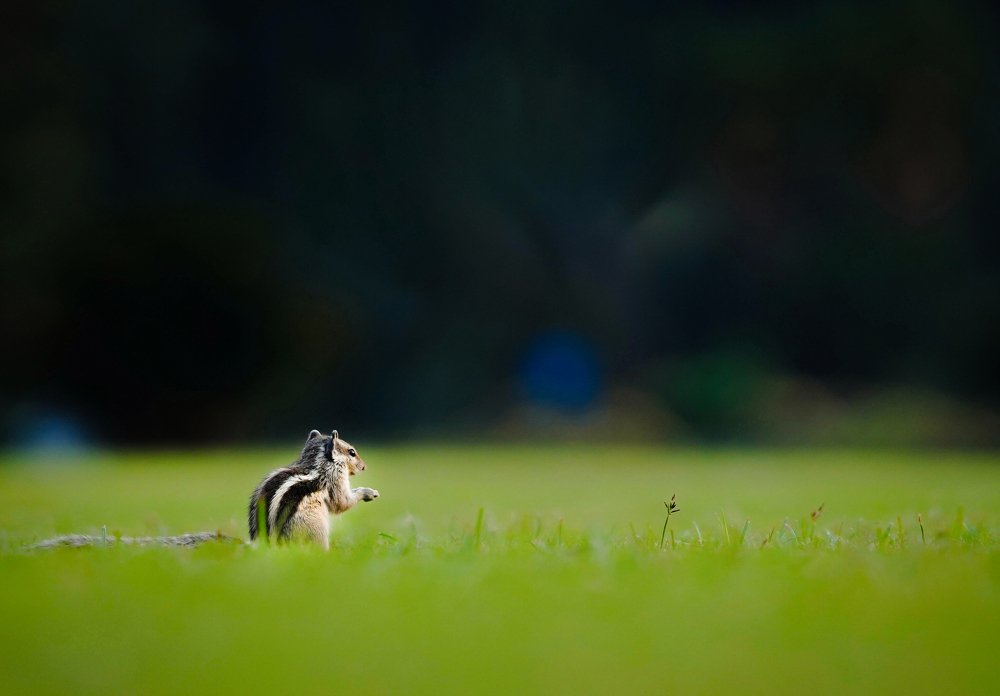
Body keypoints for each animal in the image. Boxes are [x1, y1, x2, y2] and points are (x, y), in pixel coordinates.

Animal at [26, 429, 378, 550]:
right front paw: (367, 492)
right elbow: (342, 503)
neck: (314, 460)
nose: (364, 467)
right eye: (352, 452)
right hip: (314, 529)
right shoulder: (333, 481)